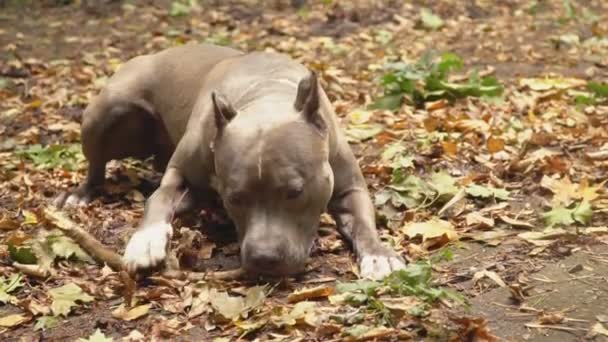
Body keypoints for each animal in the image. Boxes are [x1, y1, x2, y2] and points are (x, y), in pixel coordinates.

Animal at [57, 42, 406, 280]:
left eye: (295, 192)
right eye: (235, 198)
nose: (264, 258)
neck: (266, 96)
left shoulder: (349, 188)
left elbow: (364, 223)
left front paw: (379, 255)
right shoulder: (179, 173)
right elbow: (159, 199)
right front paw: (145, 241)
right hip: (106, 109)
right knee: (96, 164)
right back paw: (80, 194)